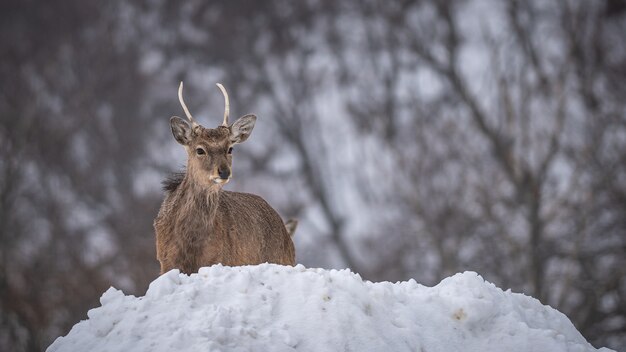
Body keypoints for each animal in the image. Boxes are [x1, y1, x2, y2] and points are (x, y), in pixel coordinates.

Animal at [154, 82, 294, 276]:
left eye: (230, 148)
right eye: (200, 150)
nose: (224, 172)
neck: (190, 245)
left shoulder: (221, 259)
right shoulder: (166, 263)